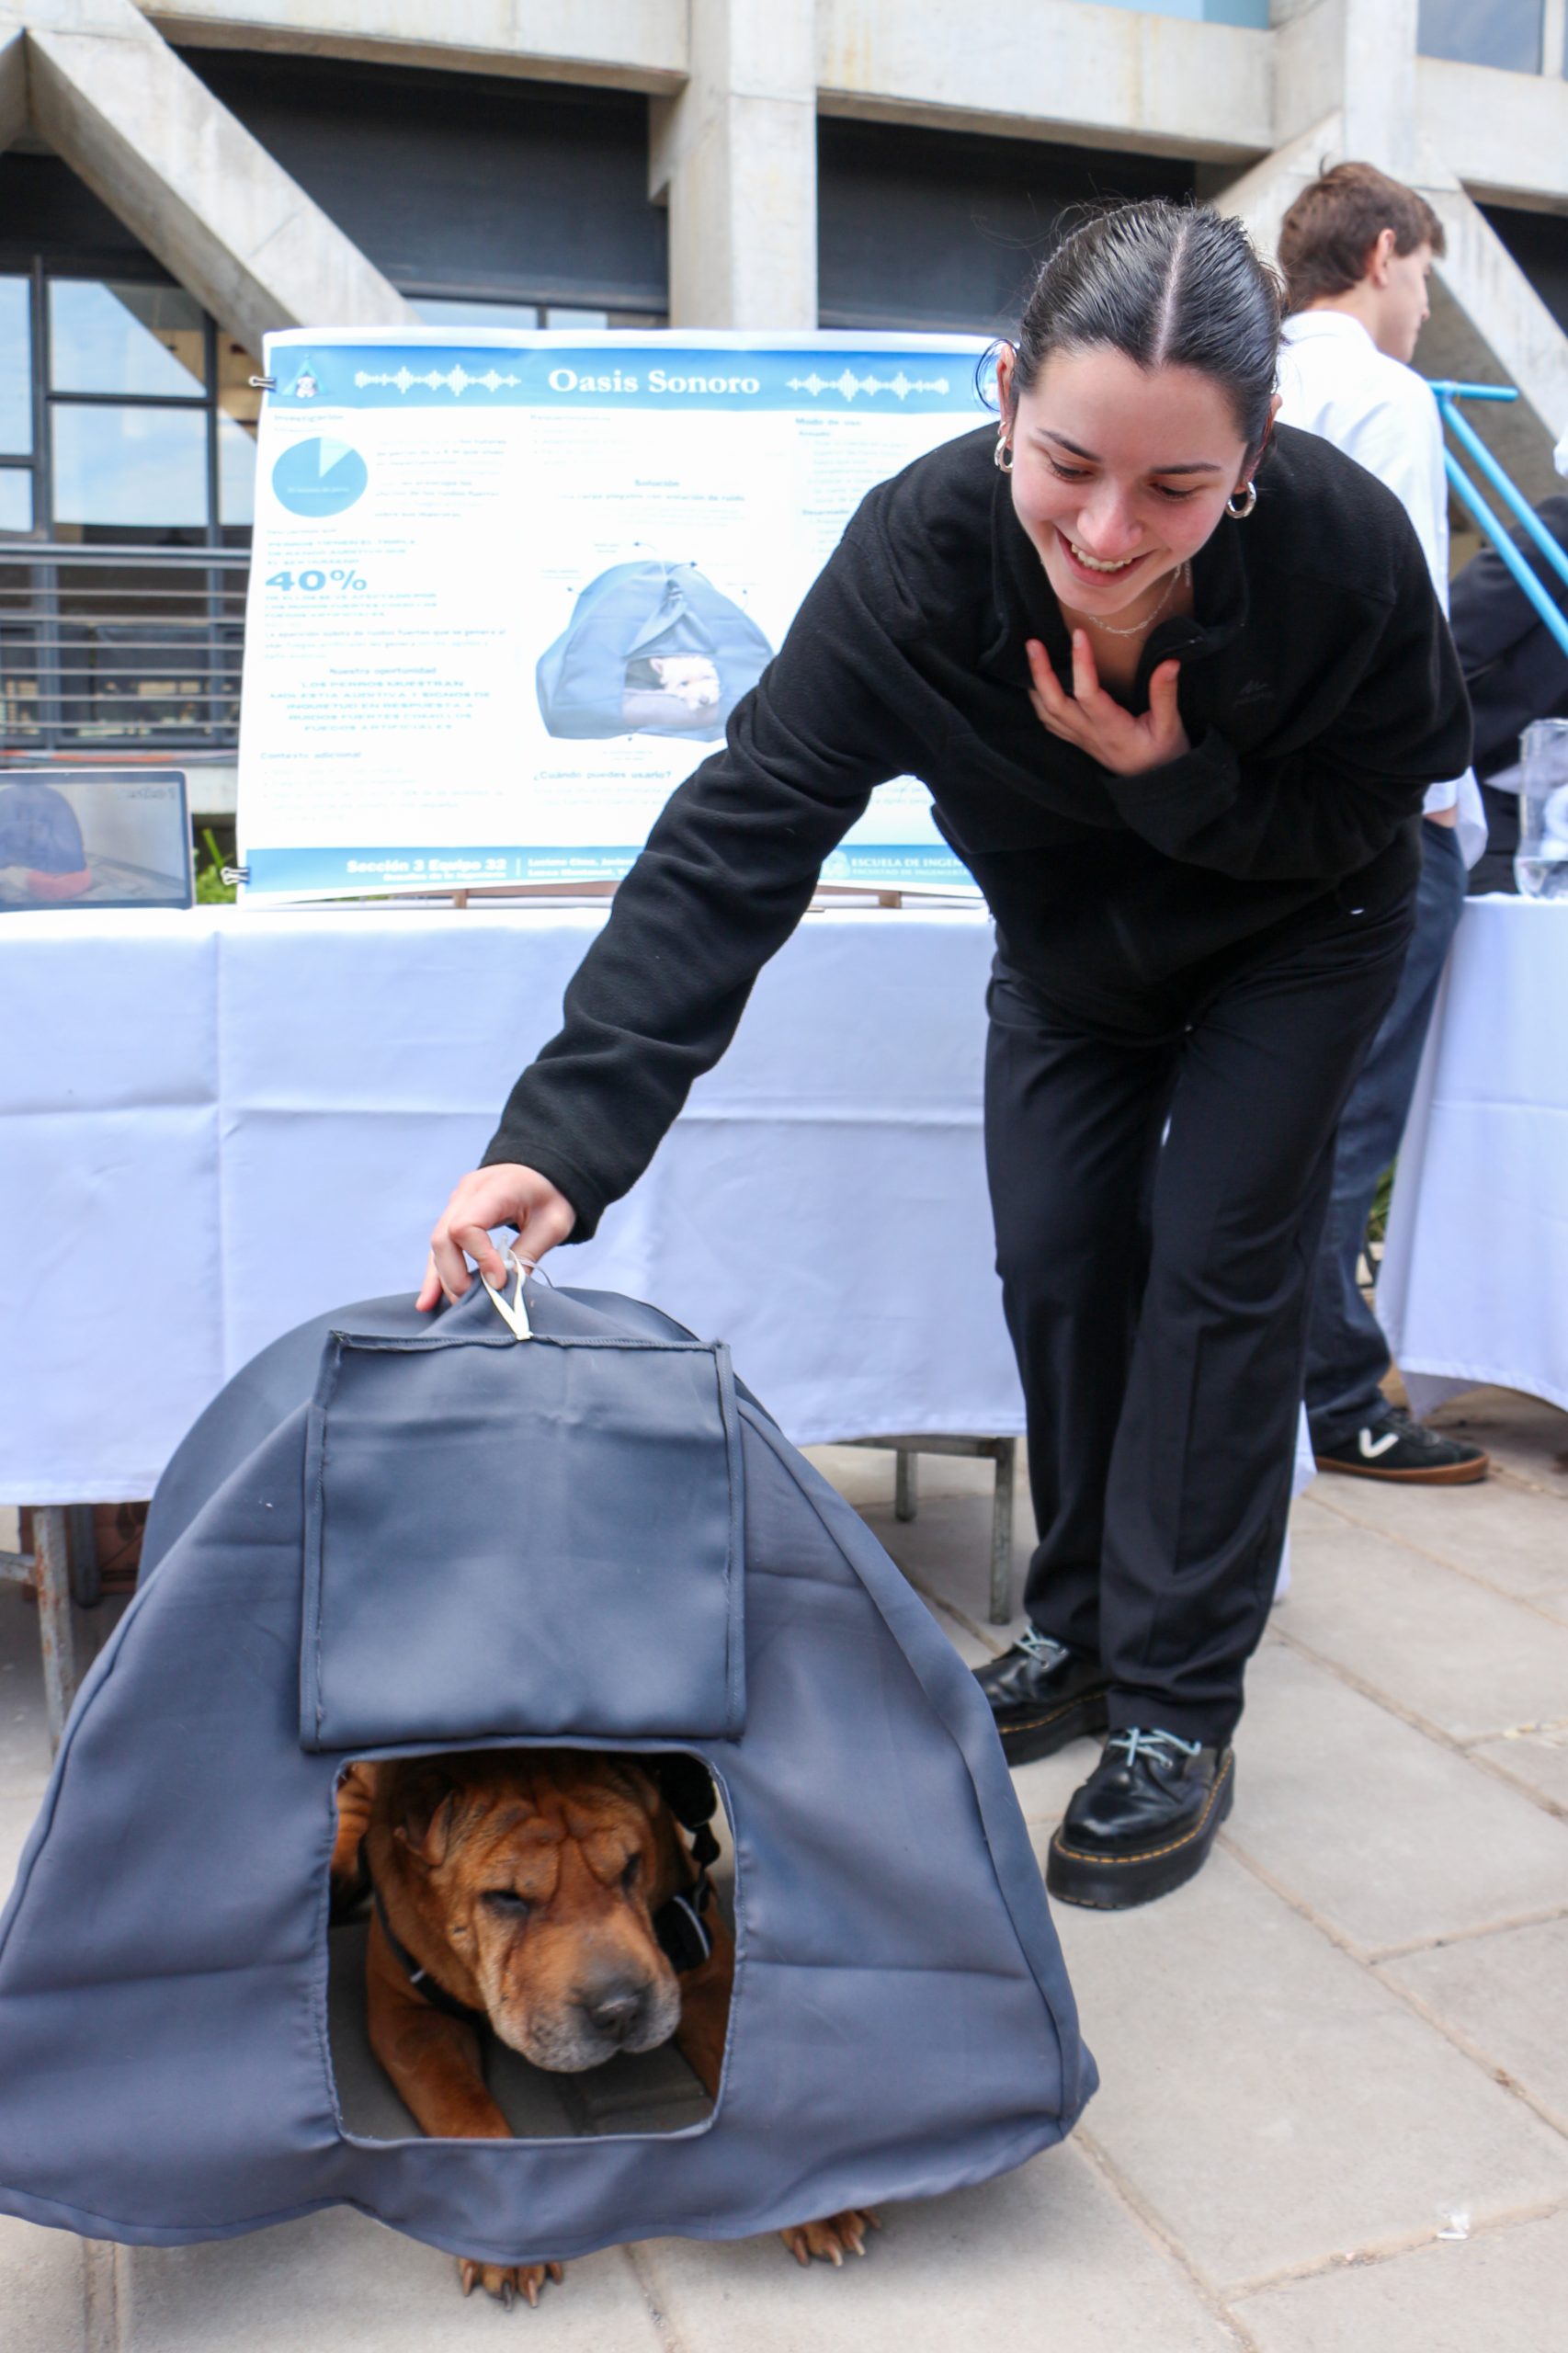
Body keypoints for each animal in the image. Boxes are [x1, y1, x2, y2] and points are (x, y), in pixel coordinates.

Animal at [331, 1751, 877, 2304]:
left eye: (630, 1866)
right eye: (506, 1898)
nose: (619, 2008)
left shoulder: (704, 1968)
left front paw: (810, 2202)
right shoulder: (409, 2019)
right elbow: (466, 2117)